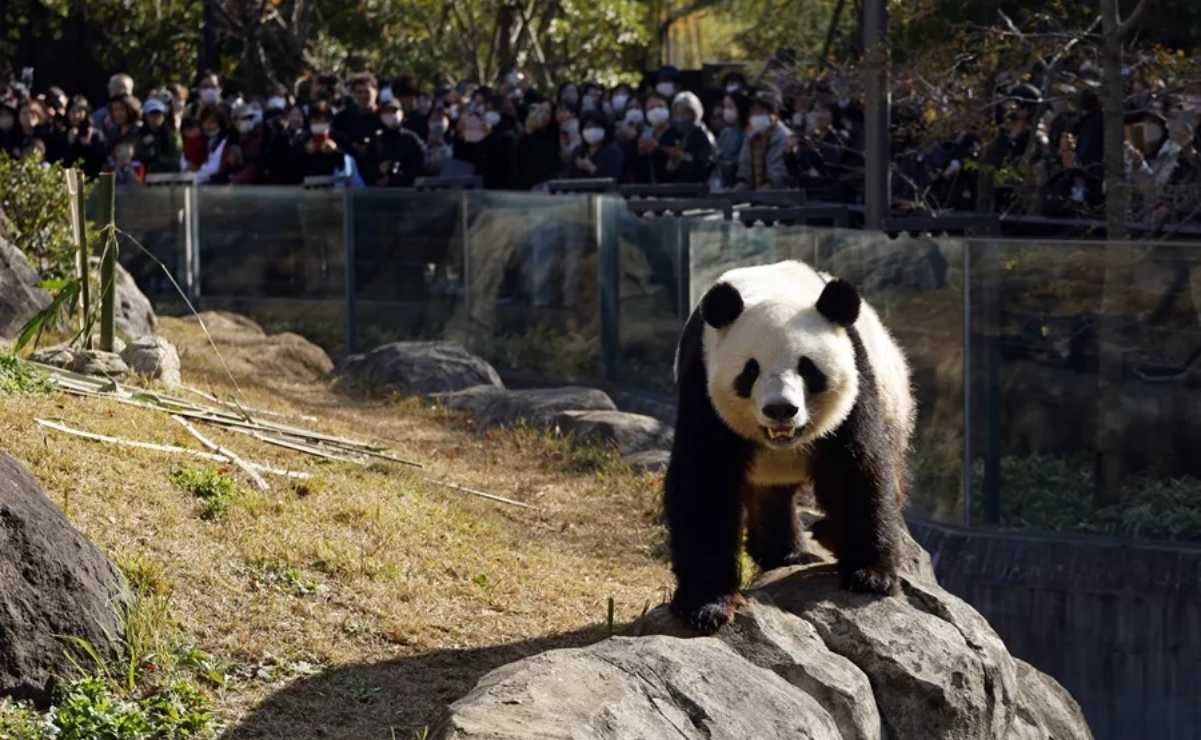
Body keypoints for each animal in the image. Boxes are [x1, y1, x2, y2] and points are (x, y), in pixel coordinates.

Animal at [665, 259, 915, 632]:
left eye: (807, 368)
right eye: (750, 370)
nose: (781, 409)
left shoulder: (857, 384)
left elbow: (857, 468)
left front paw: (871, 575)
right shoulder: (702, 384)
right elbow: (702, 482)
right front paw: (707, 605)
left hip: (894, 404)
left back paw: (822, 538)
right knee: (771, 497)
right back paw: (785, 552)